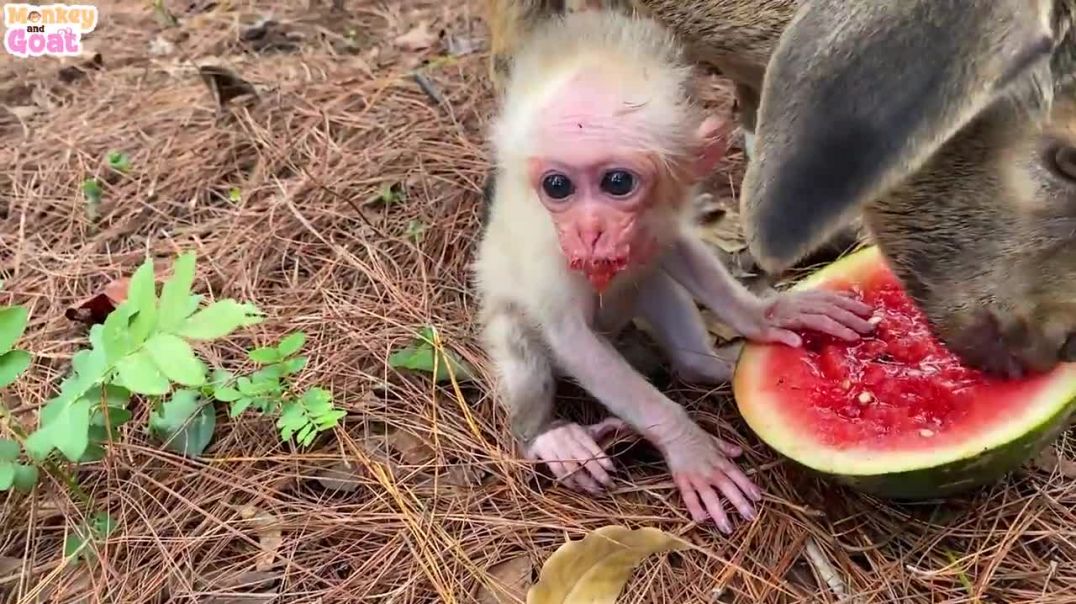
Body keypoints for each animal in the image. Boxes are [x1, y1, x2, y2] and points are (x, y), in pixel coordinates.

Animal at [473, 11, 876, 532]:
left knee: (652, 285)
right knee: (522, 348)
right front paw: (688, 444)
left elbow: (677, 251)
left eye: (617, 182)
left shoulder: (660, 217)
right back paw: (546, 435)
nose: (589, 233)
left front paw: (768, 316)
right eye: (558, 186)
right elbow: (573, 340)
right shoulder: (549, 251)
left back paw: (710, 365)